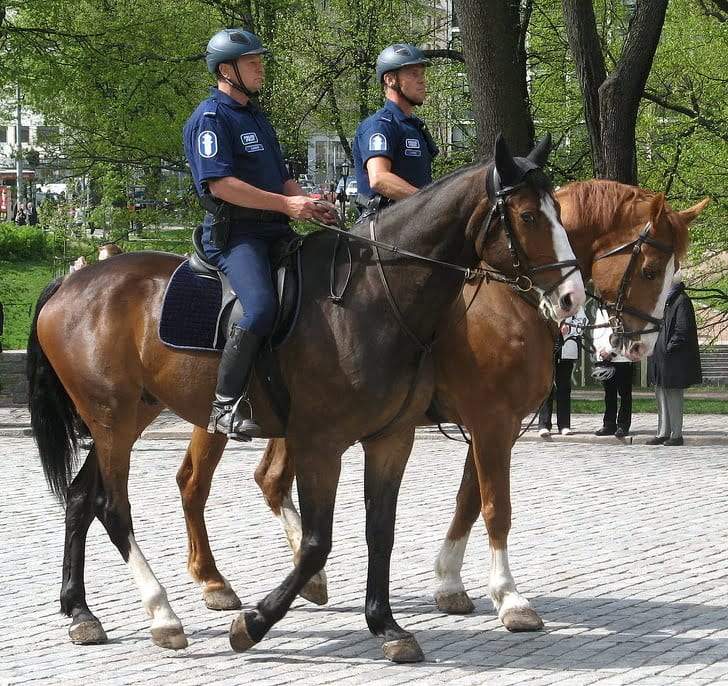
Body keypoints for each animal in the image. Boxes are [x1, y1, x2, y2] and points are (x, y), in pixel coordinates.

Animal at [27, 138, 584, 660]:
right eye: (529, 216)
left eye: (559, 213)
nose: (572, 297)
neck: (373, 297)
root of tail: (71, 281)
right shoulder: (331, 441)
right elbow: (327, 540)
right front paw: (254, 623)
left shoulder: (396, 437)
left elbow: (384, 529)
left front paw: (387, 624)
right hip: (115, 420)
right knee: (116, 506)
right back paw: (164, 613)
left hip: (126, 418)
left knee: (82, 499)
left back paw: (81, 611)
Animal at [237, 180, 704, 632]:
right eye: (649, 270)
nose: (640, 346)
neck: (512, 296)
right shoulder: (491, 422)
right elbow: (496, 506)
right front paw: (510, 598)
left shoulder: (499, 426)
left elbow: (469, 500)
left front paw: (449, 583)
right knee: (254, 480)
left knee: (270, 479)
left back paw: (300, 579)